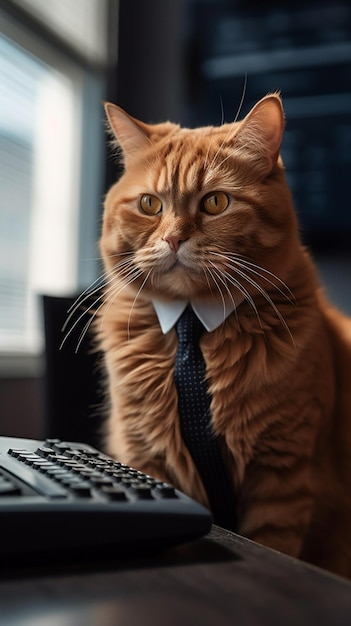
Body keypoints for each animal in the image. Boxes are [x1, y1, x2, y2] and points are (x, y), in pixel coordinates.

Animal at [96, 95, 351, 576]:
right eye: (150, 205)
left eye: (215, 202)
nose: (174, 239)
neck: (191, 328)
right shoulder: (144, 457)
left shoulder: (281, 476)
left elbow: (273, 544)